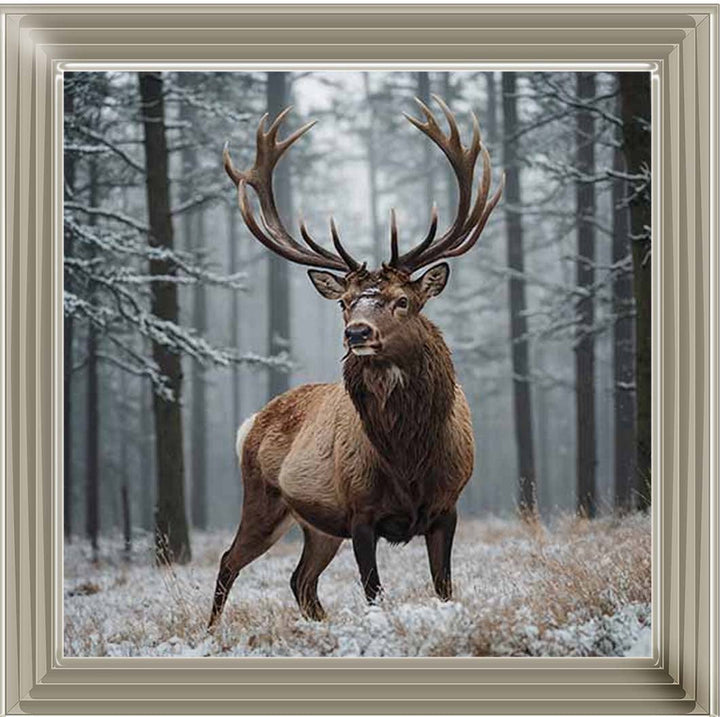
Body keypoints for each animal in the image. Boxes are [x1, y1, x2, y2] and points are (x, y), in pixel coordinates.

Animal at [209, 95, 503, 628]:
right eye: (345, 303)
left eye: (403, 301)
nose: (357, 333)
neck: (409, 459)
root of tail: (251, 422)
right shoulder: (360, 513)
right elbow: (373, 592)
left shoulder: (448, 507)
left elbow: (444, 588)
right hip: (264, 500)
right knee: (229, 560)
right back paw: (212, 632)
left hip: (318, 527)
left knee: (300, 580)